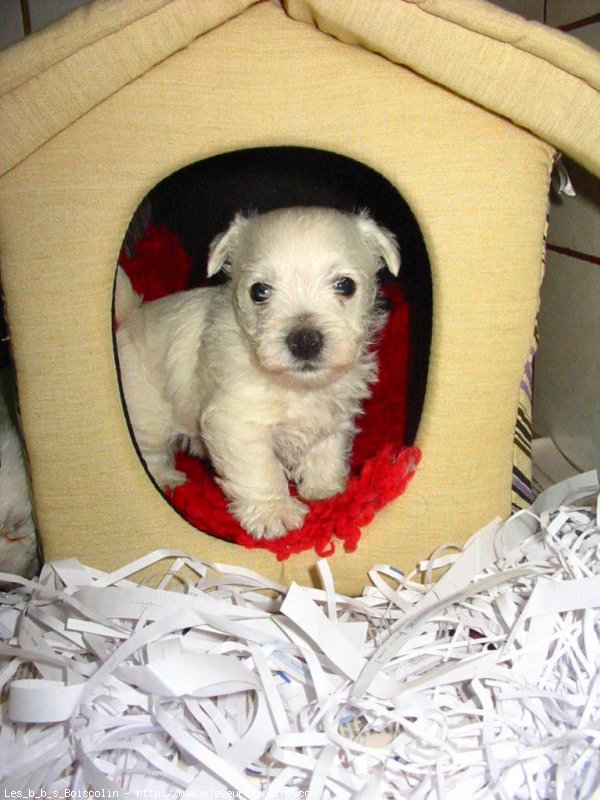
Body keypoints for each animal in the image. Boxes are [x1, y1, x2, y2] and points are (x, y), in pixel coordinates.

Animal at [115, 209, 400, 540]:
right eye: (259, 291)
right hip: (146, 412)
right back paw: (166, 479)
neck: (297, 387)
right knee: (150, 451)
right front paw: (274, 513)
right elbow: (261, 470)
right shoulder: (239, 424)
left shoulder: (334, 414)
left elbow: (326, 449)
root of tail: (131, 317)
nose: (305, 340)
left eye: (346, 286)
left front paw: (324, 489)